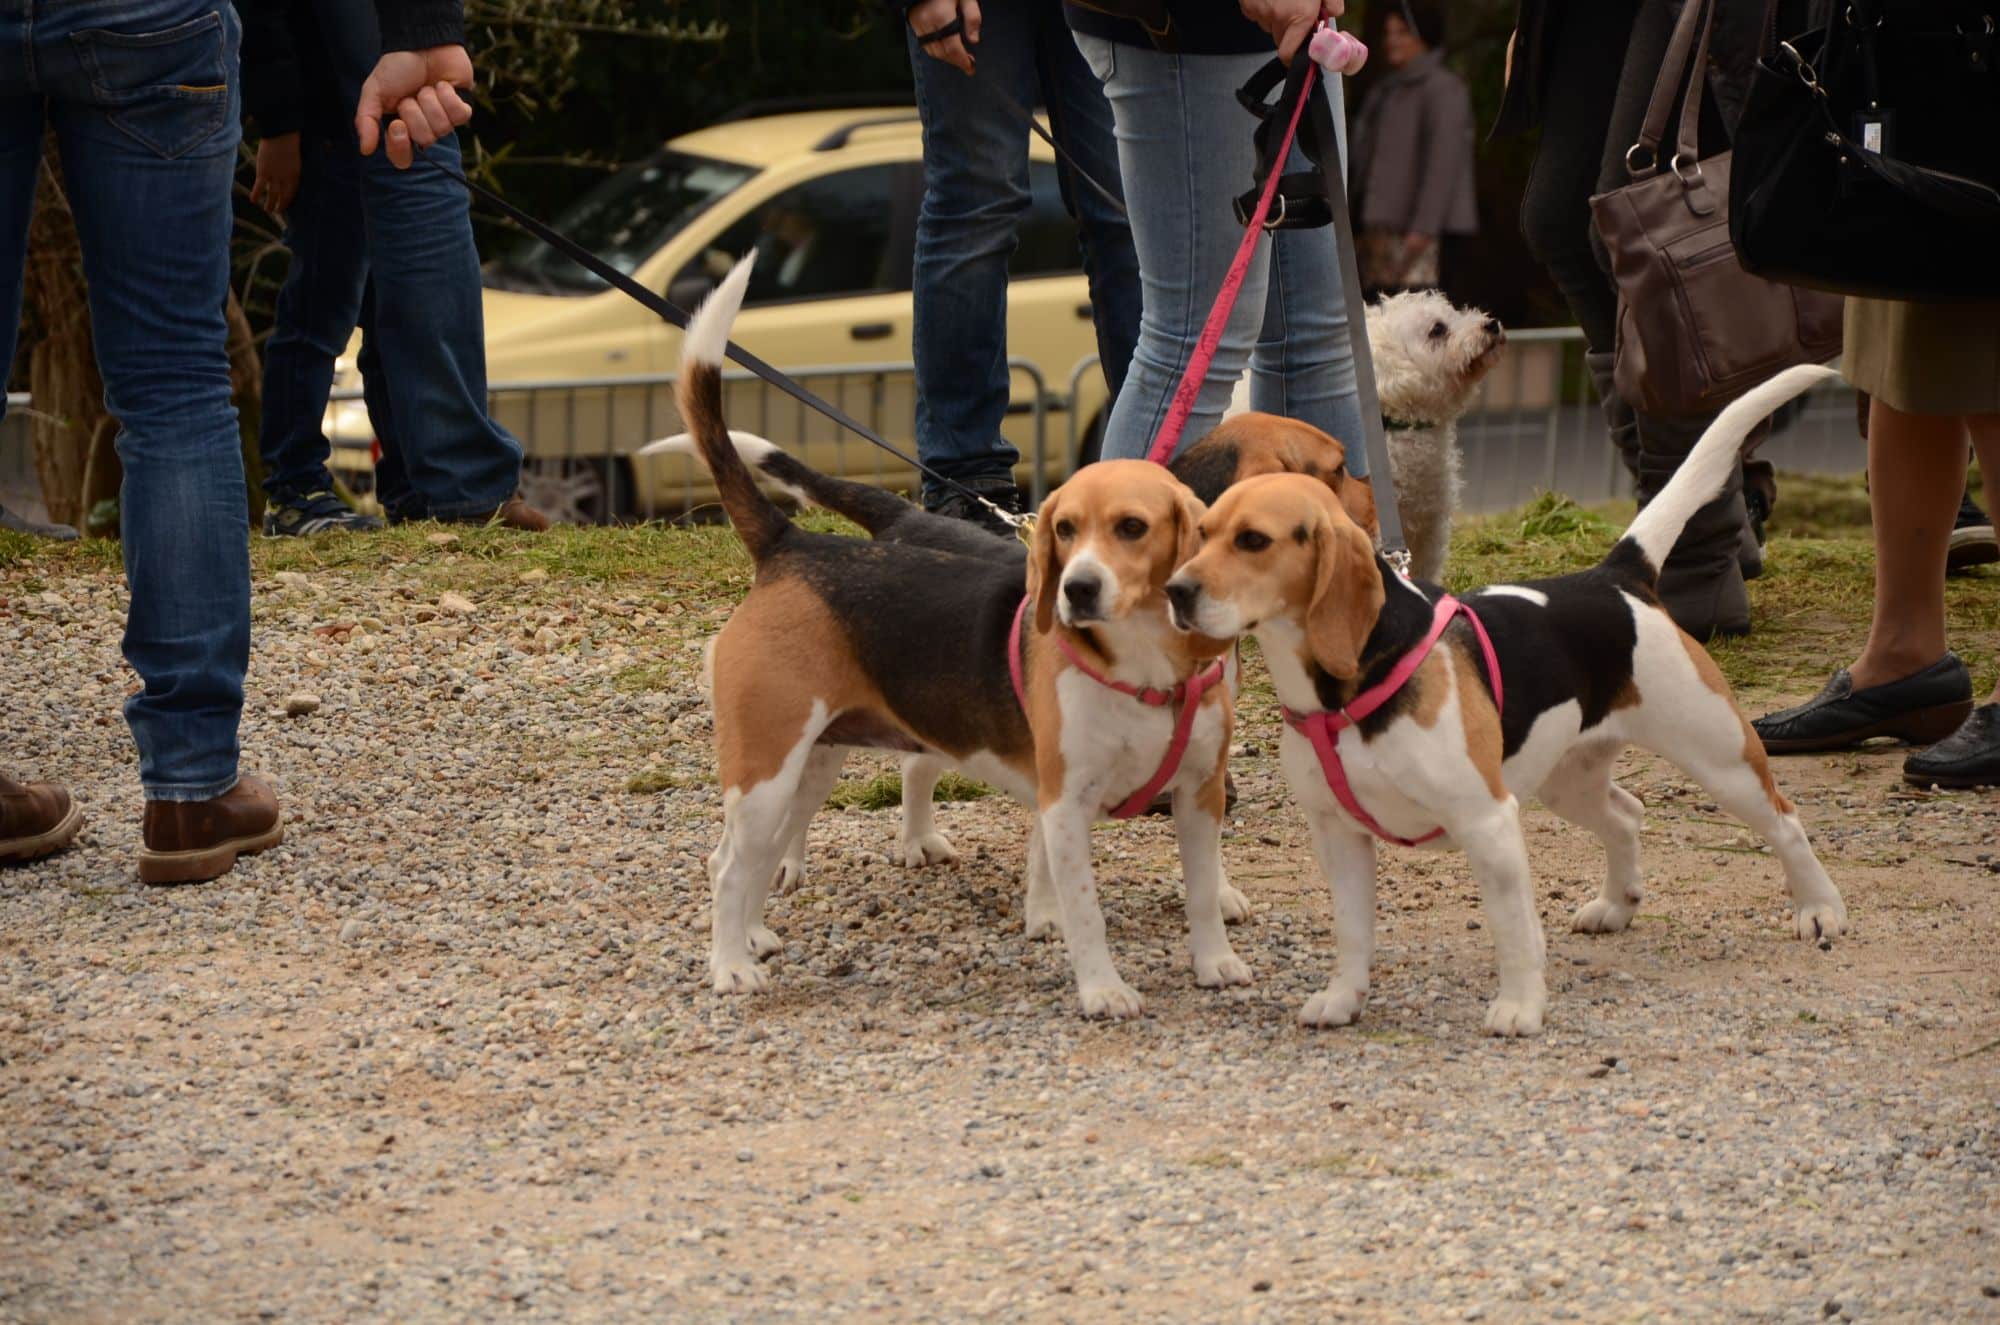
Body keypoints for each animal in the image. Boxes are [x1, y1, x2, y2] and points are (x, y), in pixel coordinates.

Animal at [680, 262, 1240, 1024]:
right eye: (1064, 529)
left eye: (1132, 527)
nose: (1075, 591)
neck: (1141, 665)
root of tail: (792, 543)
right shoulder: (1066, 805)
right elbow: (1084, 911)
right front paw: (1102, 988)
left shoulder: (1199, 793)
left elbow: (1204, 893)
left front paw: (1215, 964)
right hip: (767, 762)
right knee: (728, 865)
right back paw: (730, 967)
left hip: (809, 762)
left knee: (753, 855)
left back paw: (752, 937)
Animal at [1168, 368, 1848, 1040]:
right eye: (1200, 533)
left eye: (1253, 540)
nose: (1175, 591)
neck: (1347, 685)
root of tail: (1613, 576)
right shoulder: (1338, 833)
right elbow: (1353, 933)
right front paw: (1342, 1000)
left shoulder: (1488, 822)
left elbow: (1514, 931)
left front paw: (1519, 1008)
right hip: (1568, 778)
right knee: (1627, 814)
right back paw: (1617, 905)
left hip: (1719, 757)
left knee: (1785, 821)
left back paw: (1820, 910)